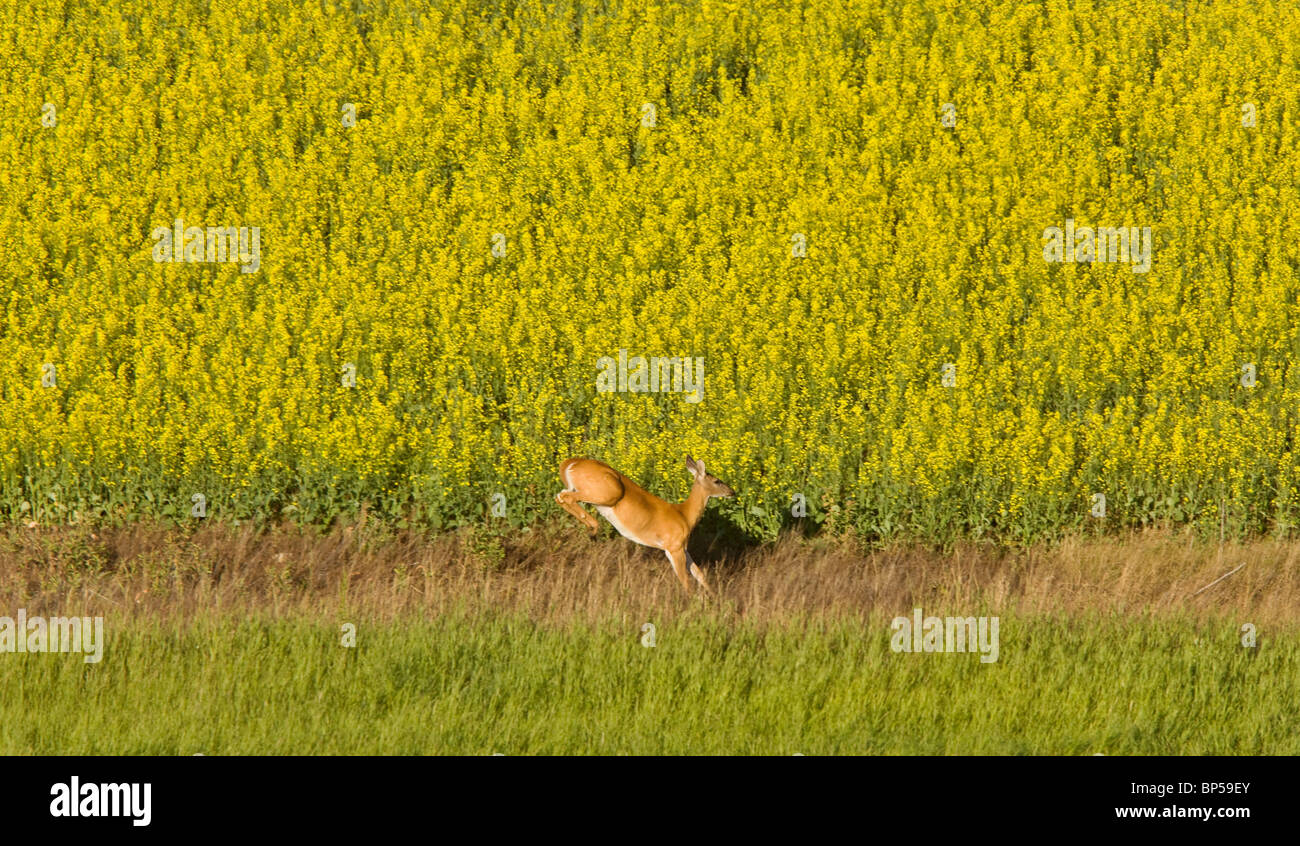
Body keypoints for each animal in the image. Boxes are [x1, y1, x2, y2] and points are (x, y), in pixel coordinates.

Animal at [555, 456, 734, 594]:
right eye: (717, 481)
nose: (732, 492)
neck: (684, 516)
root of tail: (569, 464)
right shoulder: (673, 547)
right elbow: (685, 580)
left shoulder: (682, 547)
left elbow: (699, 574)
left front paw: (713, 599)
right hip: (609, 491)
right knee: (565, 497)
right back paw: (593, 527)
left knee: (560, 496)